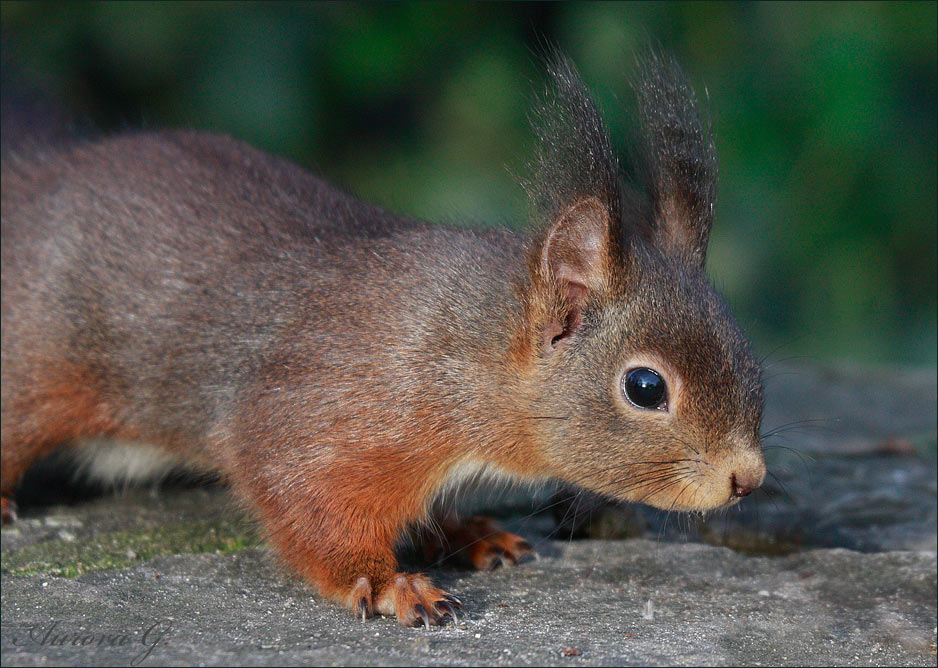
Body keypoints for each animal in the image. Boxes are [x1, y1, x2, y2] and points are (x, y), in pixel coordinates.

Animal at [1, 51, 768, 628]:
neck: (464, 347)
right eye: (645, 387)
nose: (748, 479)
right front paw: (391, 584)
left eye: (749, 354)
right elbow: (301, 497)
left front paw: (467, 531)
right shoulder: (329, 409)